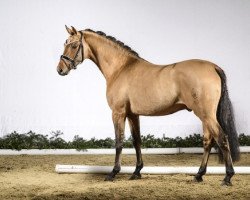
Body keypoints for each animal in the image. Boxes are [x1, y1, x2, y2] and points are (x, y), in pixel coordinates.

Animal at [57, 26, 240, 186]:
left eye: (73, 45)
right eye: (65, 43)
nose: (60, 69)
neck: (121, 68)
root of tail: (213, 67)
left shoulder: (118, 113)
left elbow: (119, 142)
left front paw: (113, 173)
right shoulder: (133, 114)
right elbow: (137, 141)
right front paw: (136, 172)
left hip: (206, 114)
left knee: (222, 138)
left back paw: (227, 177)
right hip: (205, 115)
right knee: (208, 141)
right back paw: (199, 175)